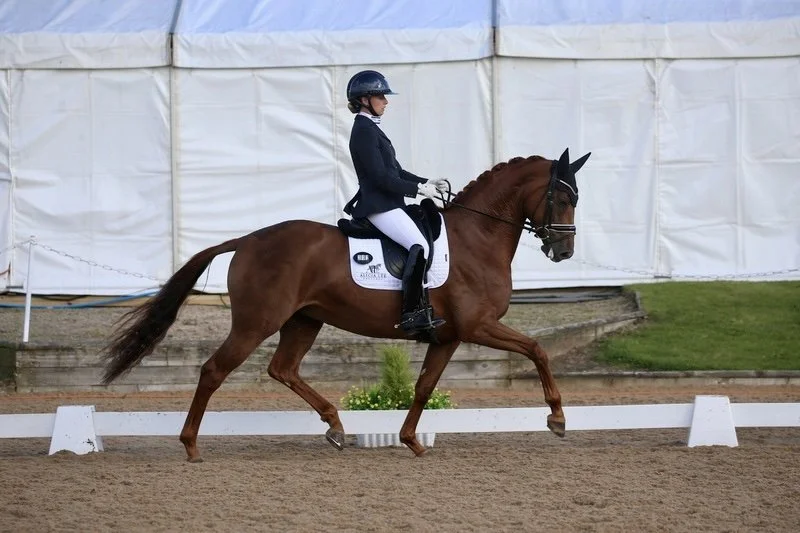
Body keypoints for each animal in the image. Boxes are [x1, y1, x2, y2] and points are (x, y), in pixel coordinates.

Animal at [102, 148, 591, 461]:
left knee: (283, 369)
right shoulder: (479, 326)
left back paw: (336, 427)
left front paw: (411, 440)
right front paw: (557, 418)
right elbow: (538, 350)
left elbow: (423, 387)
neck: (478, 237)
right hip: (256, 323)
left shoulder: (449, 336)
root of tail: (248, 239)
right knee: (213, 371)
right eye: (563, 197)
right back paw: (190, 445)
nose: (564, 252)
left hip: (304, 321)